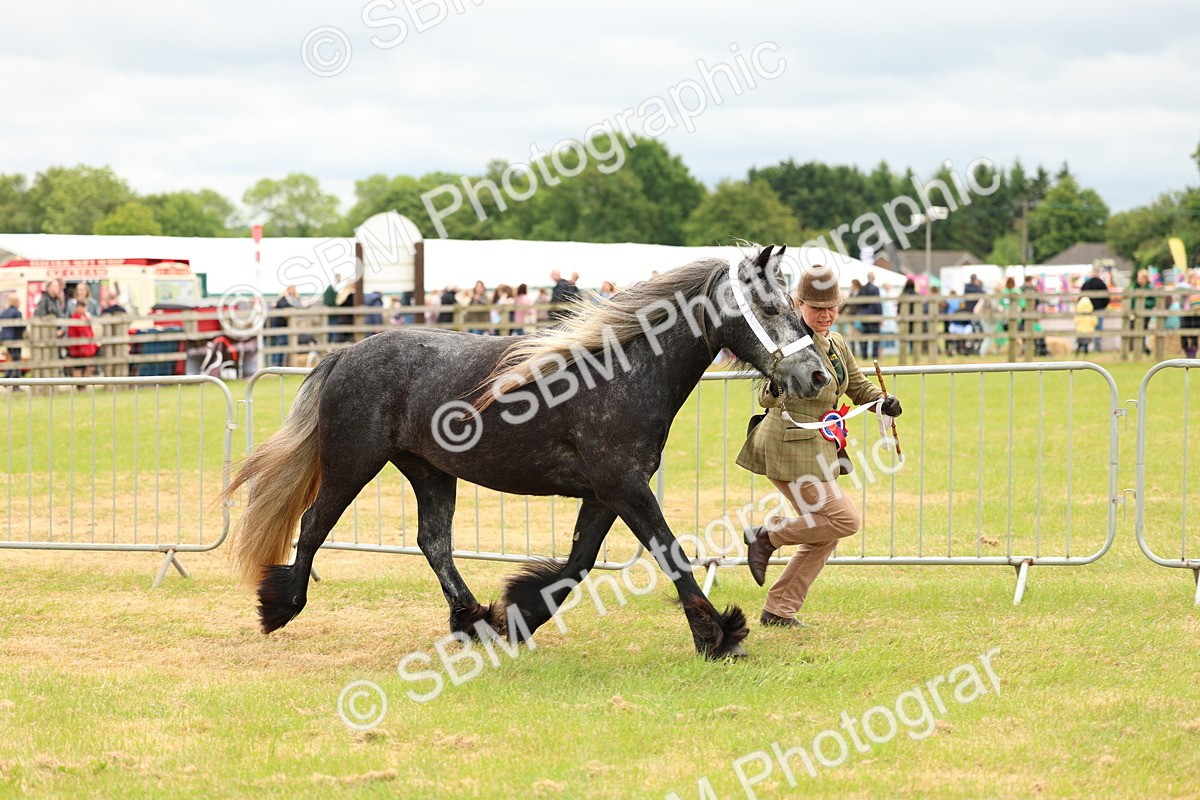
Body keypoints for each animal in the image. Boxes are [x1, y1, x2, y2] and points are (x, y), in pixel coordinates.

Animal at [225, 245, 829, 659]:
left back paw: (474, 620)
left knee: (433, 543)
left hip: (429, 472)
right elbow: (670, 554)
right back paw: (280, 607)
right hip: (353, 464)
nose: (818, 376)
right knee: (313, 525)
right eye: (769, 307)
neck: (625, 372)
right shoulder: (624, 487)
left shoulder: (606, 493)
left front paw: (519, 614)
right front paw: (719, 636)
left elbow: (579, 563)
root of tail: (346, 353)